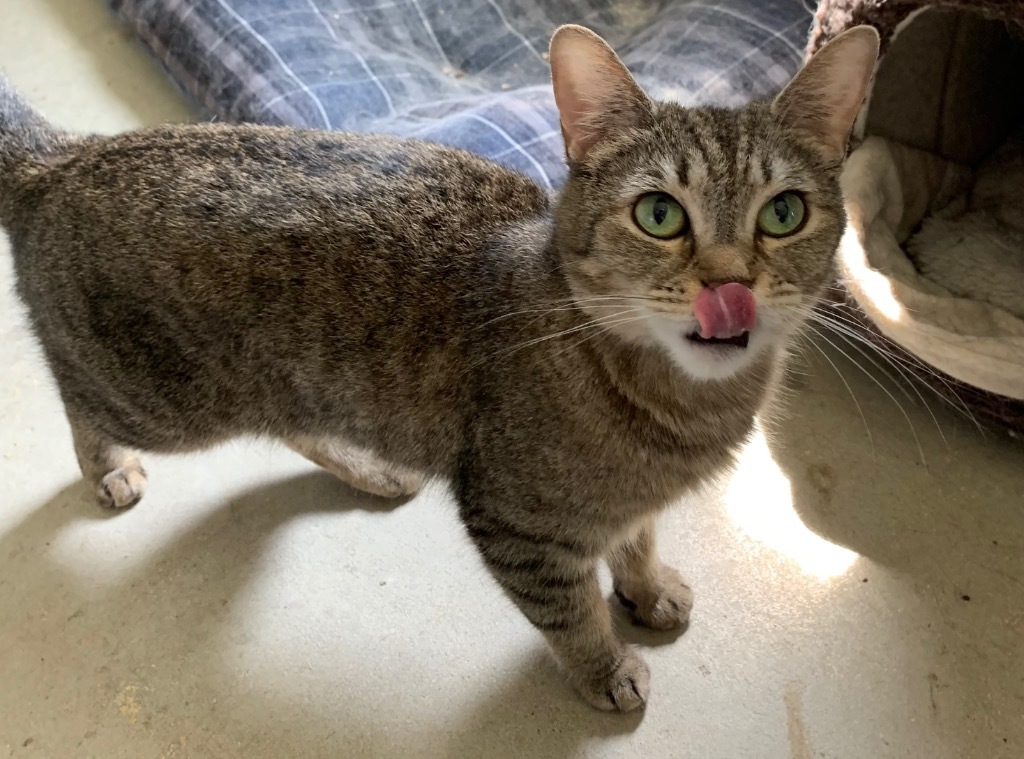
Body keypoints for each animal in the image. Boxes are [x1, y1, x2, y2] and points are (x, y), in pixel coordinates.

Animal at [0, 25, 880, 708]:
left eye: (783, 213)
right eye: (659, 214)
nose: (731, 284)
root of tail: (65, 155)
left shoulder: (624, 505)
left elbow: (636, 539)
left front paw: (647, 583)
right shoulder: (517, 524)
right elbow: (571, 614)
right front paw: (605, 668)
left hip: (286, 386)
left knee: (296, 425)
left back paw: (368, 468)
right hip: (159, 399)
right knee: (77, 400)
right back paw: (107, 467)